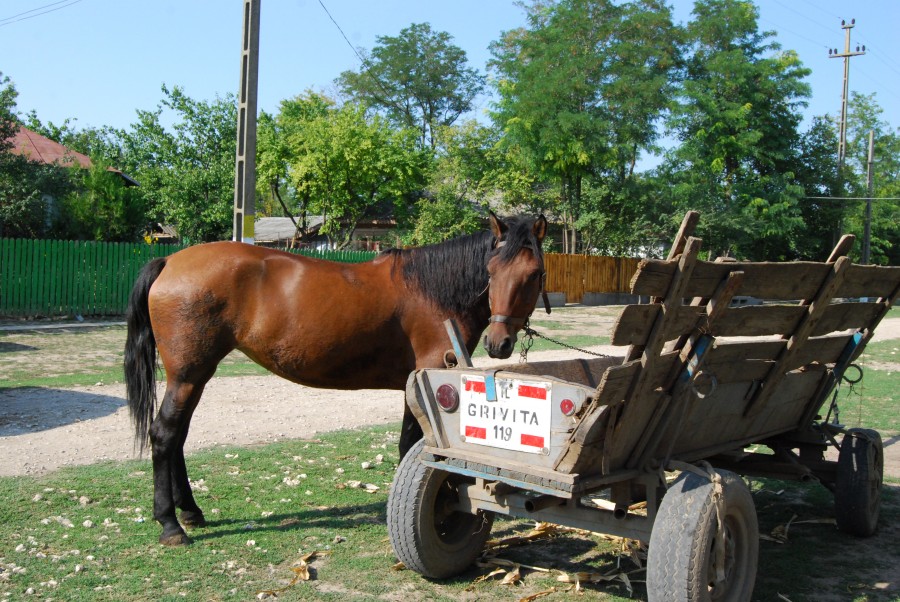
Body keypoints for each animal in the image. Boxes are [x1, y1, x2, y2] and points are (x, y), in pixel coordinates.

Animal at [125, 211, 548, 544]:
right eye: (491, 272)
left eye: (535, 274)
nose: (498, 342)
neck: (434, 290)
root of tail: (169, 261)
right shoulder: (426, 381)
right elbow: (414, 445)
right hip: (188, 376)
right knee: (164, 434)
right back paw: (170, 524)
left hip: (193, 377)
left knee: (178, 437)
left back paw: (190, 511)